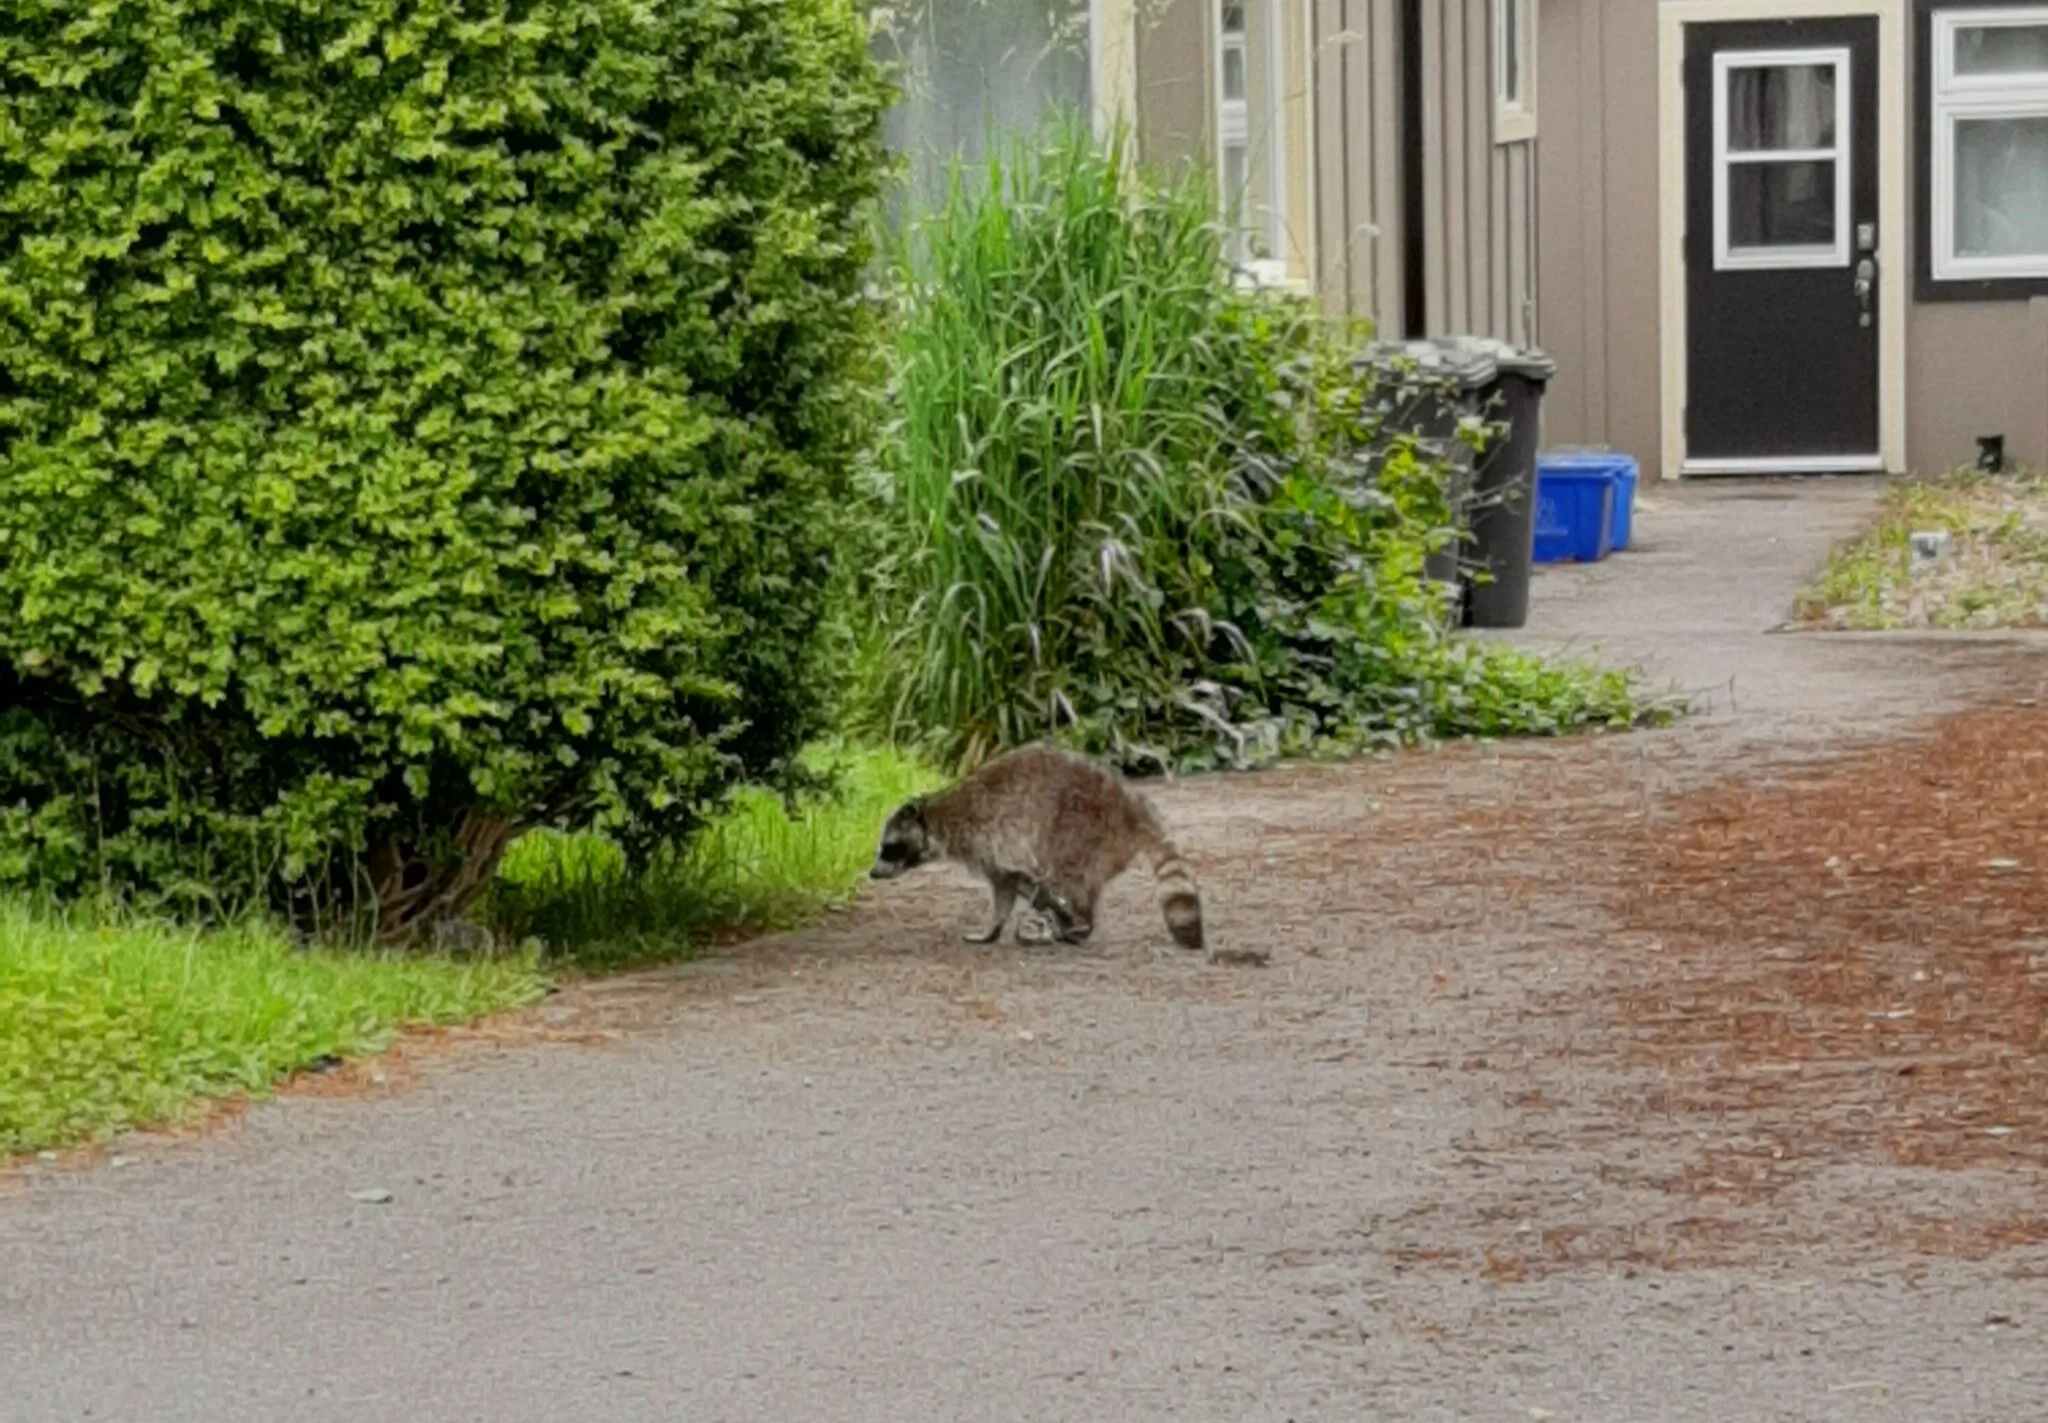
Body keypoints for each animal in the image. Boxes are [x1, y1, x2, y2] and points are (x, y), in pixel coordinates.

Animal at [867, 743, 1205, 951]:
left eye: (889, 848)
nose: (871, 873)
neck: (934, 817)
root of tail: (1129, 802)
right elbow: (1019, 882)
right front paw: (1032, 910)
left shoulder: (983, 839)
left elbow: (1006, 886)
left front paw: (994, 926)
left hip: (1083, 829)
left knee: (1068, 875)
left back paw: (1082, 922)